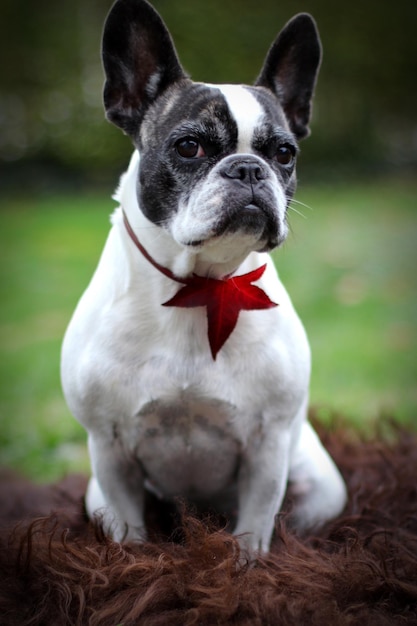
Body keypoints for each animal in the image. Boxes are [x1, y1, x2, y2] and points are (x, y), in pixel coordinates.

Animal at [60, 0, 346, 552]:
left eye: (284, 154)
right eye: (189, 147)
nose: (248, 168)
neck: (202, 286)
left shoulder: (267, 449)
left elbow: (254, 532)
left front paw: (244, 565)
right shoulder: (110, 452)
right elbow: (130, 535)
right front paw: (136, 562)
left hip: (323, 487)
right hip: (94, 493)